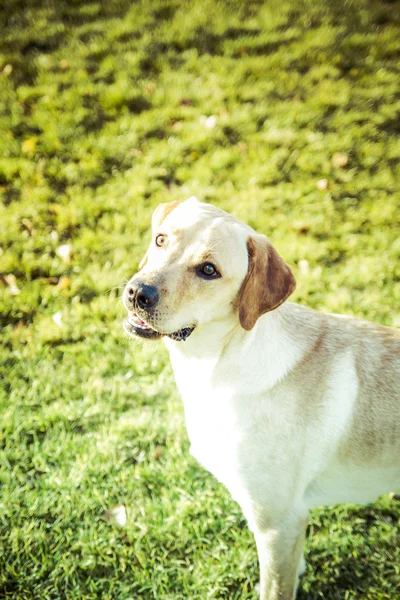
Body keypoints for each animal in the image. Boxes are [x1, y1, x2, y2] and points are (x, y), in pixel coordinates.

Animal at [122, 197, 400, 600]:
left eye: (209, 270)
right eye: (161, 239)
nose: (137, 293)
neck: (217, 365)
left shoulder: (277, 525)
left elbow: (273, 587)